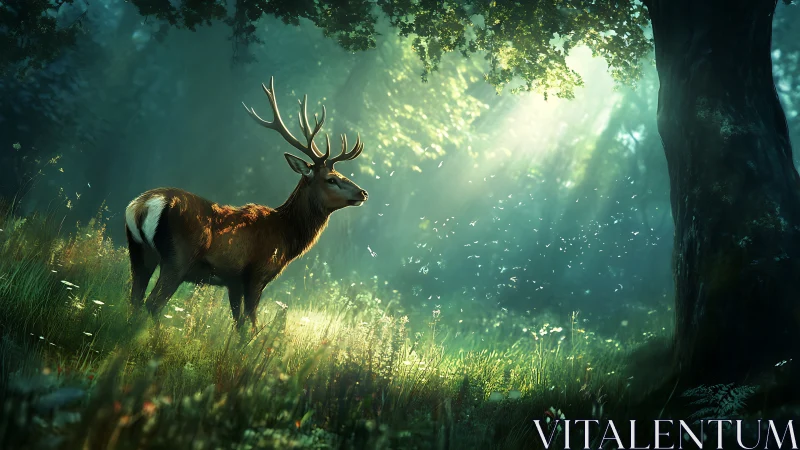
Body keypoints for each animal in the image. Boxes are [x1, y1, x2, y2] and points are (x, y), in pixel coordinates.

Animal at [124, 77, 368, 329]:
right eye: (331, 179)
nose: (362, 193)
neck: (286, 237)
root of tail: (142, 206)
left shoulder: (234, 281)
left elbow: (239, 323)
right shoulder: (256, 274)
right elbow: (251, 324)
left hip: (139, 250)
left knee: (135, 299)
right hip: (178, 257)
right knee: (153, 303)